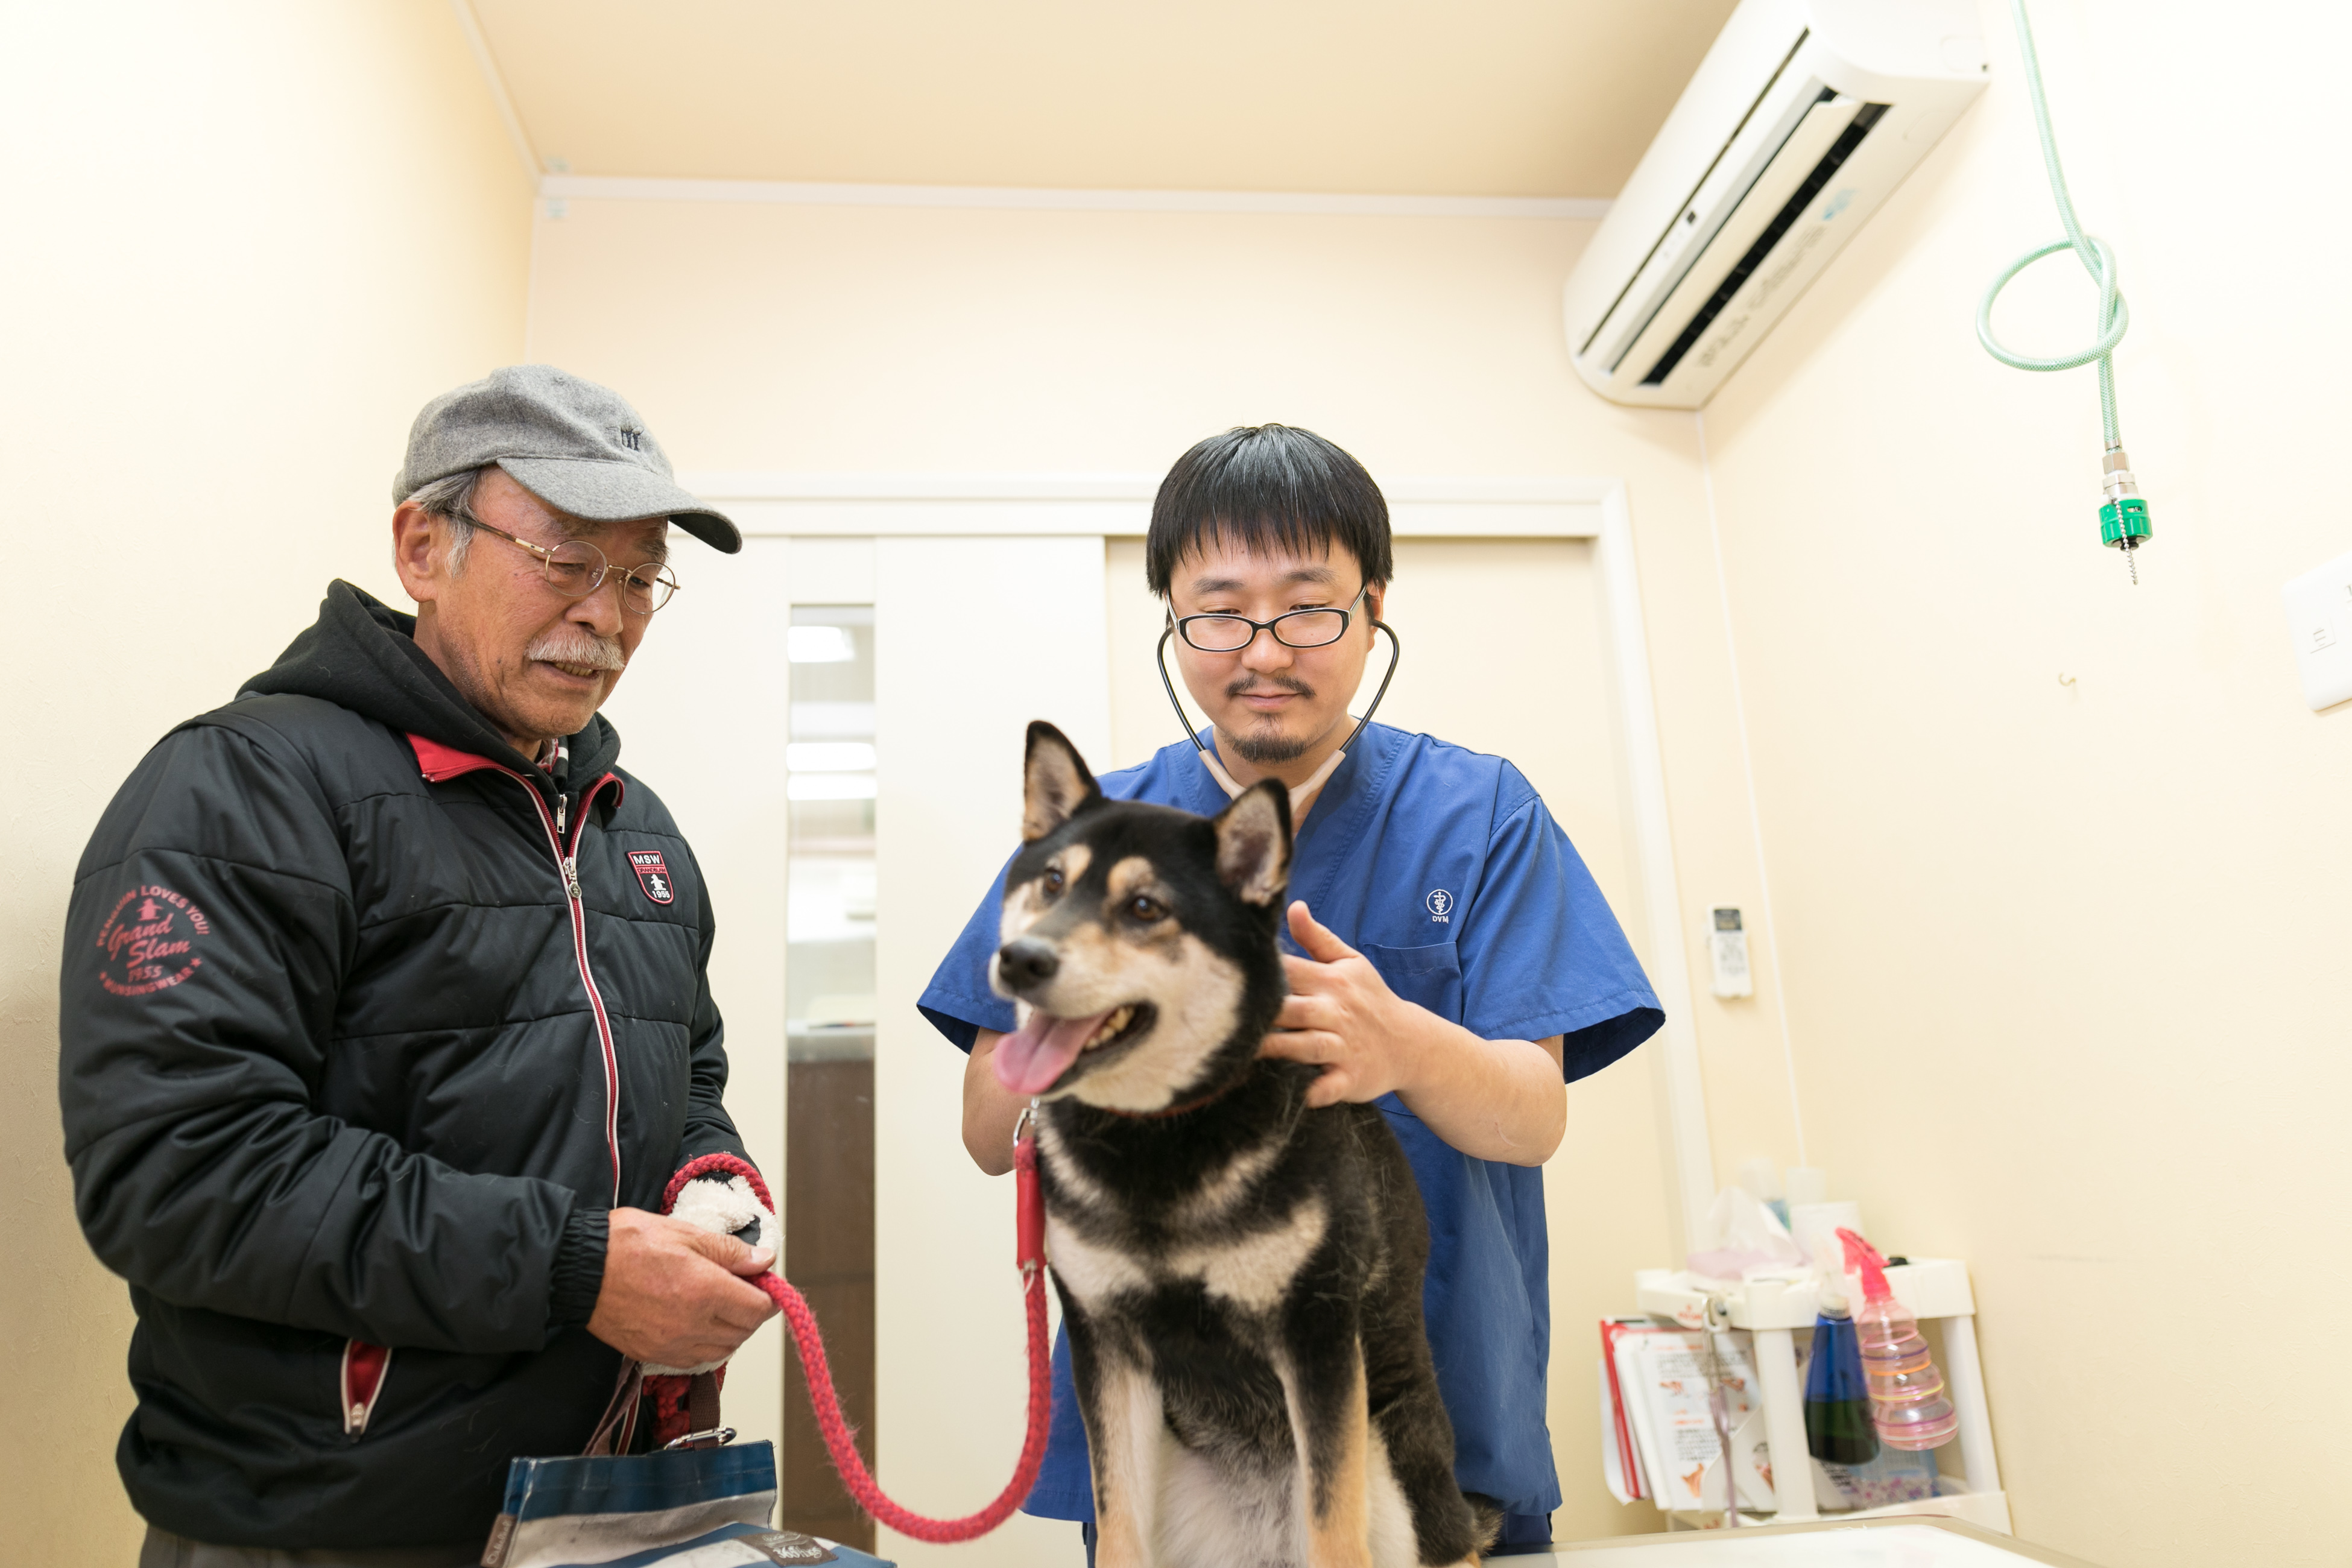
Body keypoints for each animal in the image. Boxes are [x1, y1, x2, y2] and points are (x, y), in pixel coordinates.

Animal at [992, 729, 1486, 1568]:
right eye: (1052, 883)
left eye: (1145, 906)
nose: (1022, 958)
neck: (1161, 1134)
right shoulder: (1108, 1346)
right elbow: (1117, 1527)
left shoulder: (1317, 1332)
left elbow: (1333, 1529)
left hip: (1398, 1480)